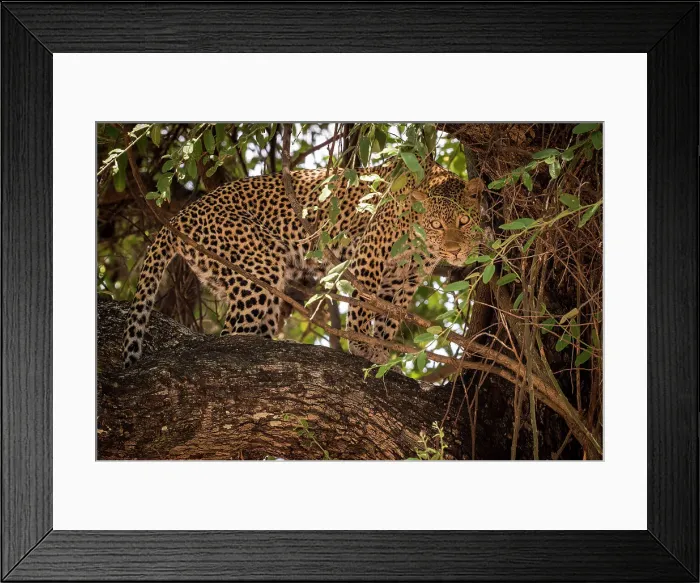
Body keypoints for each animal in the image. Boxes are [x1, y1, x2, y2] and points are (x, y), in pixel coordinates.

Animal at [122, 156, 485, 368]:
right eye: (437, 225)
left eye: (464, 222)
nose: (454, 251)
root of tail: (181, 215)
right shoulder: (370, 255)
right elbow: (363, 305)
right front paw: (360, 345)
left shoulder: (403, 279)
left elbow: (387, 317)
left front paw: (380, 349)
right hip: (257, 267)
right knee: (228, 336)